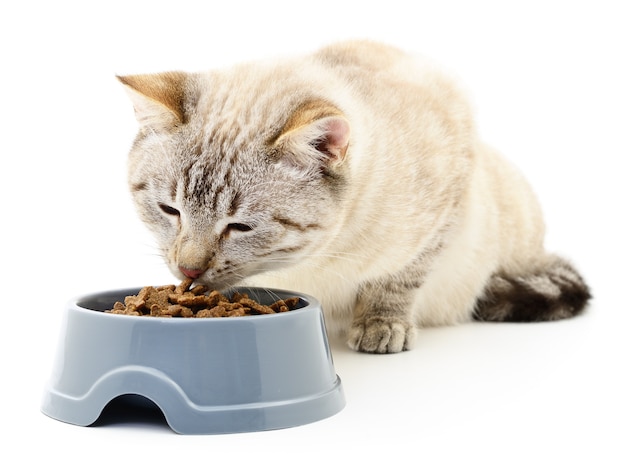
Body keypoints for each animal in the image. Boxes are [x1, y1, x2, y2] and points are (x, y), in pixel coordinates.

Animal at [118, 41, 588, 354]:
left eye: (240, 227)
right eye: (170, 210)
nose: (188, 270)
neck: (312, 259)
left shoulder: (446, 203)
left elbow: (399, 279)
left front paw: (381, 326)